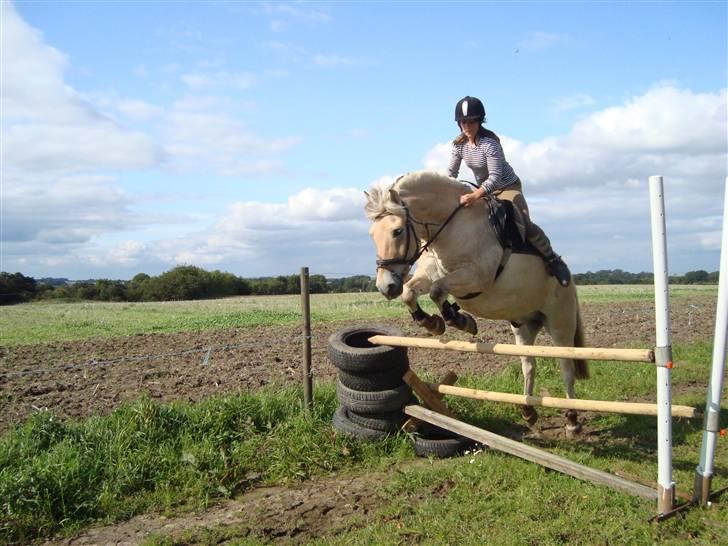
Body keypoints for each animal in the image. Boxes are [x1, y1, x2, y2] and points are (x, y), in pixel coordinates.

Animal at [364, 170, 589, 435]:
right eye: (372, 235)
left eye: (397, 231)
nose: (385, 287)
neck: (451, 229)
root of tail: (570, 280)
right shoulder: (430, 274)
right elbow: (411, 292)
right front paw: (432, 323)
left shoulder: (475, 277)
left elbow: (438, 291)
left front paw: (458, 320)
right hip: (524, 324)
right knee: (528, 364)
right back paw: (528, 411)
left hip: (560, 321)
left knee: (566, 366)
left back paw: (572, 420)